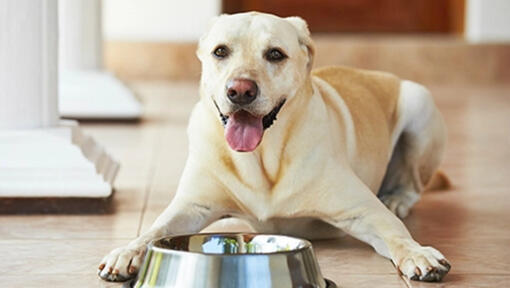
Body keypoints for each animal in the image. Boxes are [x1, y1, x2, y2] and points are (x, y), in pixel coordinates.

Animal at [98, 11, 450, 284]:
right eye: (220, 52)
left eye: (276, 54)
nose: (240, 90)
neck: (262, 158)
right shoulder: (191, 206)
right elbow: (154, 229)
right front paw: (127, 251)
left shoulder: (364, 210)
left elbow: (396, 234)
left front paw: (418, 253)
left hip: (419, 103)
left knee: (412, 185)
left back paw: (397, 198)